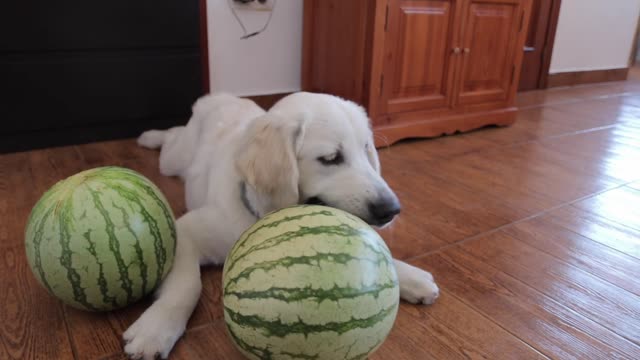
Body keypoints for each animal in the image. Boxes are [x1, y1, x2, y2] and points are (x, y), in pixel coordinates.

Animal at [122, 93, 438, 360]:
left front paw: (410, 276)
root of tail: (218, 95)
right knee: (172, 137)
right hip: (172, 161)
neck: (259, 212)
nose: (391, 210)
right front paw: (156, 328)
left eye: (366, 150)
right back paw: (149, 136)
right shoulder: (184, 231)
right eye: (331, 158)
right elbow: (187, 286)